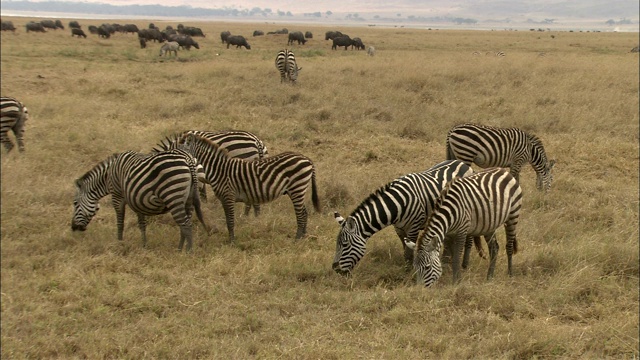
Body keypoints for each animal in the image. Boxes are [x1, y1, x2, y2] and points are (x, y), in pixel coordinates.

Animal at [72, 148, 212, 252]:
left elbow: (120, 222)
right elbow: (142, 224)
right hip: (189, 197)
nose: (73, 228)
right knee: (185, 223)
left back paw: (188, 252)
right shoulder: (138, 199)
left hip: (173, 196)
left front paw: (119, 243)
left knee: (185, 224)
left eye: (75, 203)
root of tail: (188, 159)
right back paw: (179, 249)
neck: (108, 176)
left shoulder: (117, 196)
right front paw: (144, 245)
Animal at [174, 132, 318, 242]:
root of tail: (307, 159)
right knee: (304, 212)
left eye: (180, 148)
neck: (219, 169)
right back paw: (303, 235)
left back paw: (297, 239)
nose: (175, 160)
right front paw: (231, 239)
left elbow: (230, 221)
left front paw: (232, 242)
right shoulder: (224, 199)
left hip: (297, 188)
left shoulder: (228, 195)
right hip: (297, 190)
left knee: (300, 214)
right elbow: (228, 220)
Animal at [332, 159, 482, 274]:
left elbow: (408, 253)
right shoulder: (399, 229)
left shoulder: (413, 227)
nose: (335, 269)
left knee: (468, 239)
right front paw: (407, 268)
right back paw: (446, 260)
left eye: (345, 244)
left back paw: (464, 264)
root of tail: (464, 164)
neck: (396, 205)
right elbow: (405, 248)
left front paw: (408, 273)